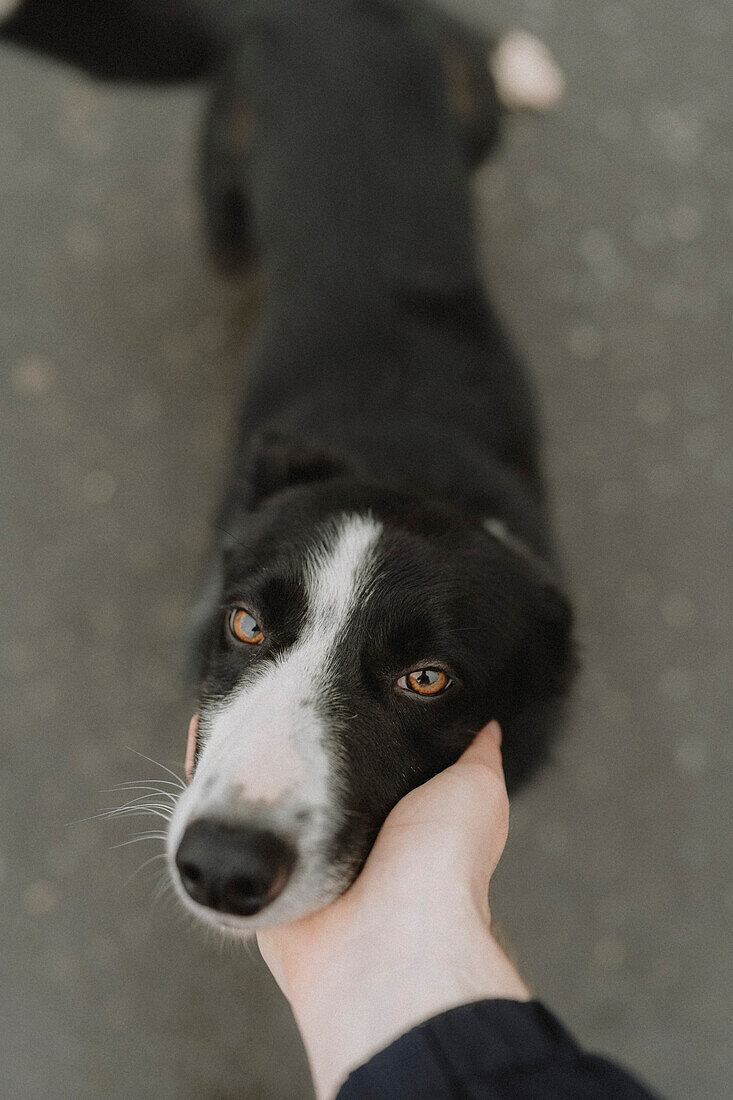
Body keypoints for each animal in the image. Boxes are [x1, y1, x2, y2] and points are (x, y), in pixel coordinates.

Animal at [4, 0, 572, 928]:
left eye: (427, 678)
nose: (222, 867)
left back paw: (523, 64)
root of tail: (317, 5)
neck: (405, 465)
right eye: (245, 624)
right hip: (225, 198)